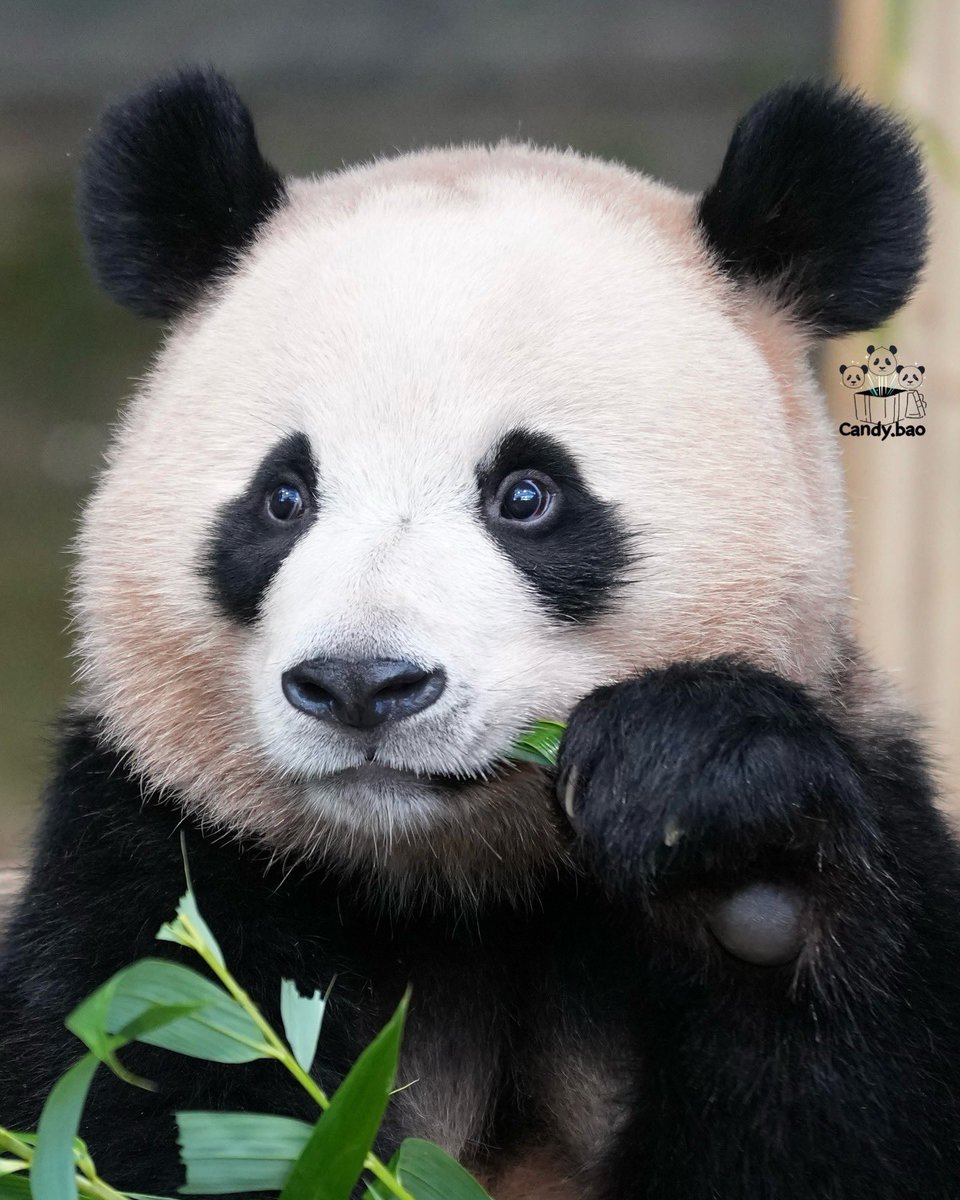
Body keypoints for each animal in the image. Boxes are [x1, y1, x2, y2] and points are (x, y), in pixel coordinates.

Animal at [1, 69, 959, 1200]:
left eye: (527, 495)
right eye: (284, 498)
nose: (360, 684)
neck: (468, 881)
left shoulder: (878, 825)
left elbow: (848, 1114)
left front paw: (725, 841)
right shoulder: (157, 860)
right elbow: (152, 1105)